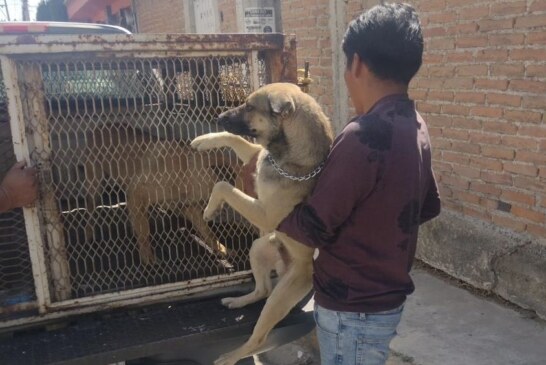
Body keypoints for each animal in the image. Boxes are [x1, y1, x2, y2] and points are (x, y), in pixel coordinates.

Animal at [81, 125, 234, 262]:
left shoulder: (189, 208)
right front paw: (147, 257)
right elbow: (144, 230)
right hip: (94, 184)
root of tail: (100, 126)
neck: (185, 169)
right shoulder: (136, 193)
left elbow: (207, 231)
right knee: (90, 209)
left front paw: (220, 247)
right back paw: (88, 234)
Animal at [191, 83, 336, 364]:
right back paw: (237, 301)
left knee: (258, 337)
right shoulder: (255, 155)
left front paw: (211, 209)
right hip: (259, 248)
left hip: (279, 299)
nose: (219, 116)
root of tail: (287, 267)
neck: (290, 156)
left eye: (249, 107)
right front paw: (205, 140)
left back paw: (228, 358)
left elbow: (223, 185)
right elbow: (236, 140)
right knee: (262, 290)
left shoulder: (265, 213)